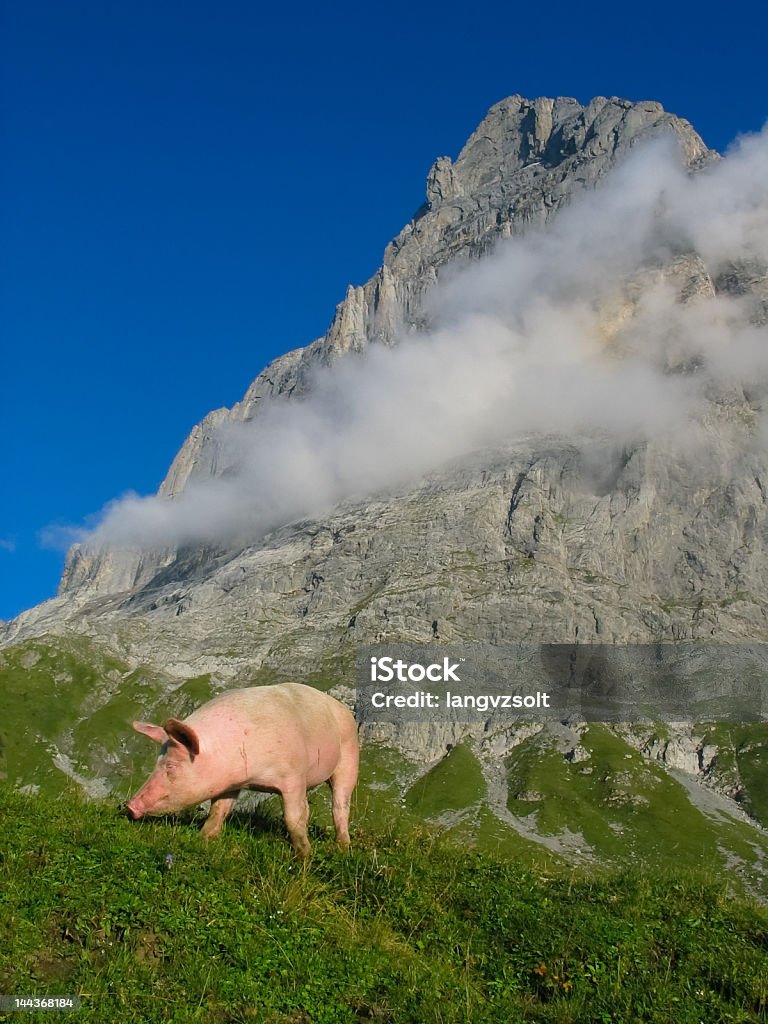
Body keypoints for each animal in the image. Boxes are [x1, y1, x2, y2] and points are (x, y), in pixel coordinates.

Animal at [126, 684, 360, 860]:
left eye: (171, 765)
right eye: (156, 762)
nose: (129, 806)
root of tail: (341, 708)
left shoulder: (294, 777)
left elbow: (293, 818)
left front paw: (304, 857)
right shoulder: (230, 784)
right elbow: (218, 810)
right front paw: (203, 839)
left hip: (349, 760)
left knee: (340, 805)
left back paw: (342, 848)